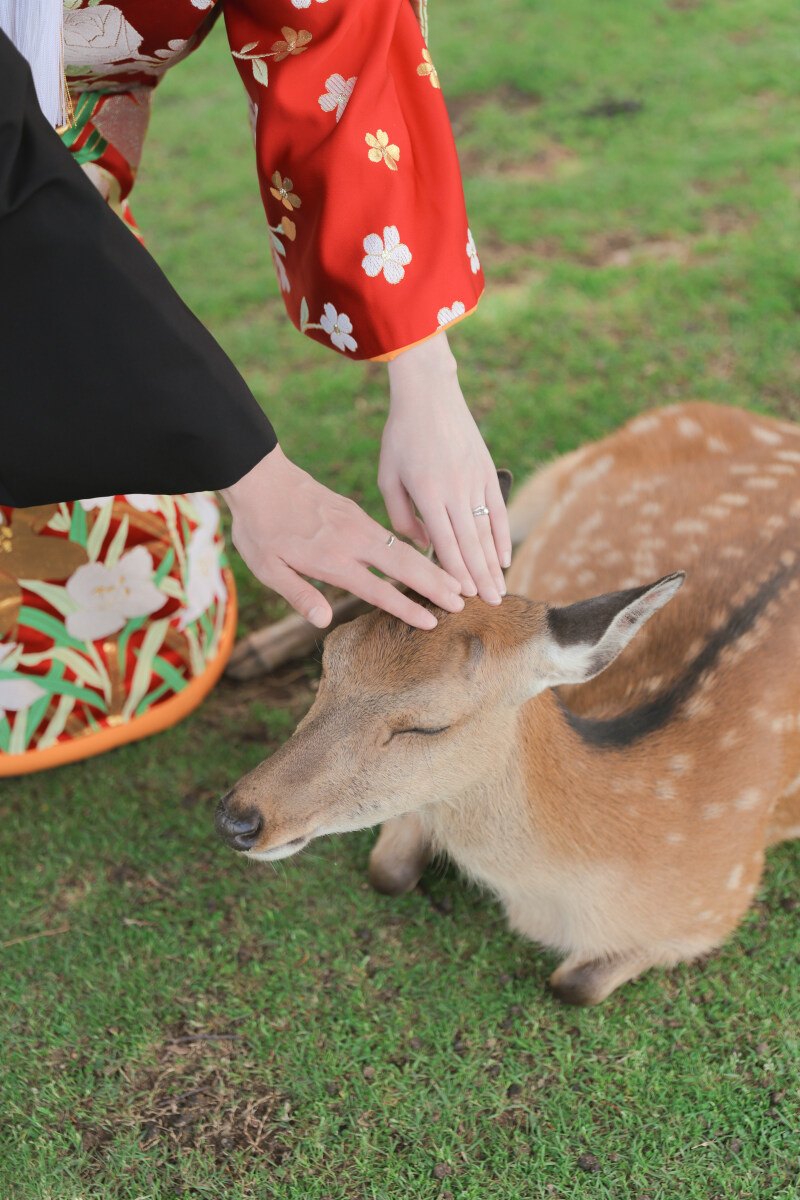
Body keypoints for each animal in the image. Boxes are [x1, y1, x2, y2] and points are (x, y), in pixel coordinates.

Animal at [215, 402, 800, 1004]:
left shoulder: (716, 908)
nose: (238, 820)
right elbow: (388, 873)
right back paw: (247, 652)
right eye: (331, 660)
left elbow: (574, 985)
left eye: (428, 726)